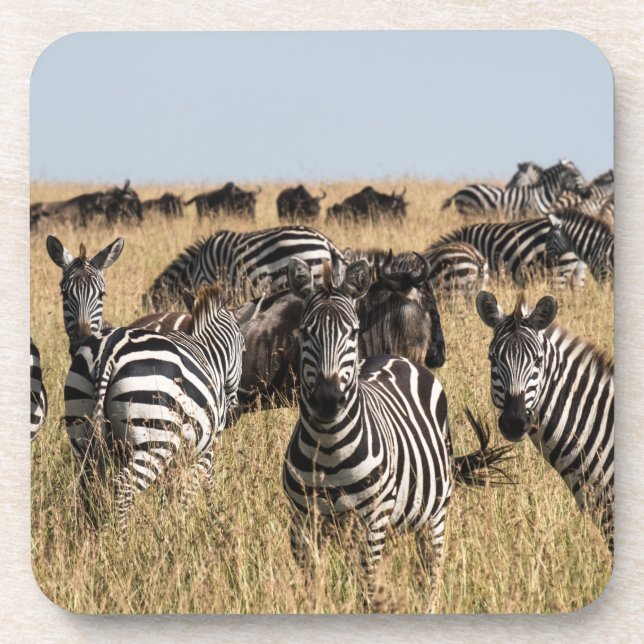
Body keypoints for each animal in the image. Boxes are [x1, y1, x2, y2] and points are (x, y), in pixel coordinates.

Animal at [64, 285, 245, 534]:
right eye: (244, 349)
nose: (235, 413)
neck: (207, 353)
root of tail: (108, 351)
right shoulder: (205, 448)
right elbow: (196, 487)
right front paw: (197, 524)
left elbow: (170, 495)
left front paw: (168, 526)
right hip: (154, 440)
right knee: (123, 488)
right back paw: (121, 540)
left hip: (82, 435)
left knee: (89, 490)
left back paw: (92, 538)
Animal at [283, 258, 512, 603]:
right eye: (306, 332)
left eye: (353, 332)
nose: (328, 400)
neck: (328, 447)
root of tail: (397, 358)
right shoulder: (302, 526)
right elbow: (312, 593)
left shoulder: (372, 522)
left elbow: (367, 591)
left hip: (433, 516)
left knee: (429, 576)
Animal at [441, 159, 590, 221]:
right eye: (576, 175)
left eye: (515, 177)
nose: (588, 193)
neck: (540, 195)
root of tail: (459, 191)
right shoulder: (530, 215)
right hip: (468, 213)